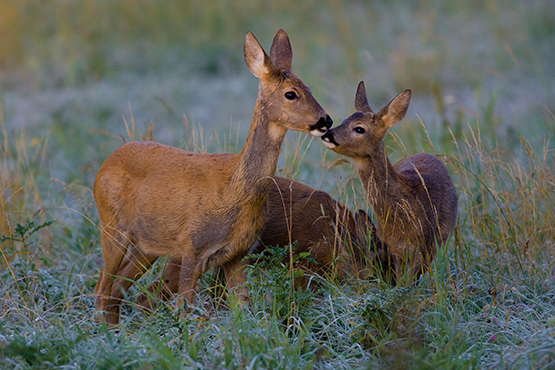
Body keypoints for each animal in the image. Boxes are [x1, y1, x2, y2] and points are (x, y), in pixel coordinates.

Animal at [93, 29, 332, 324]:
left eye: (309, 89)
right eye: (291, 94)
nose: (326, 120)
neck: (233, 191)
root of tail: (105, 164)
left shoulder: (237, 254)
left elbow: (242, 307)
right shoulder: (192, 247)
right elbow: (185, 309)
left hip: (145, 243)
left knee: (116, 288)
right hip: (112, 225)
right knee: (103, 288)